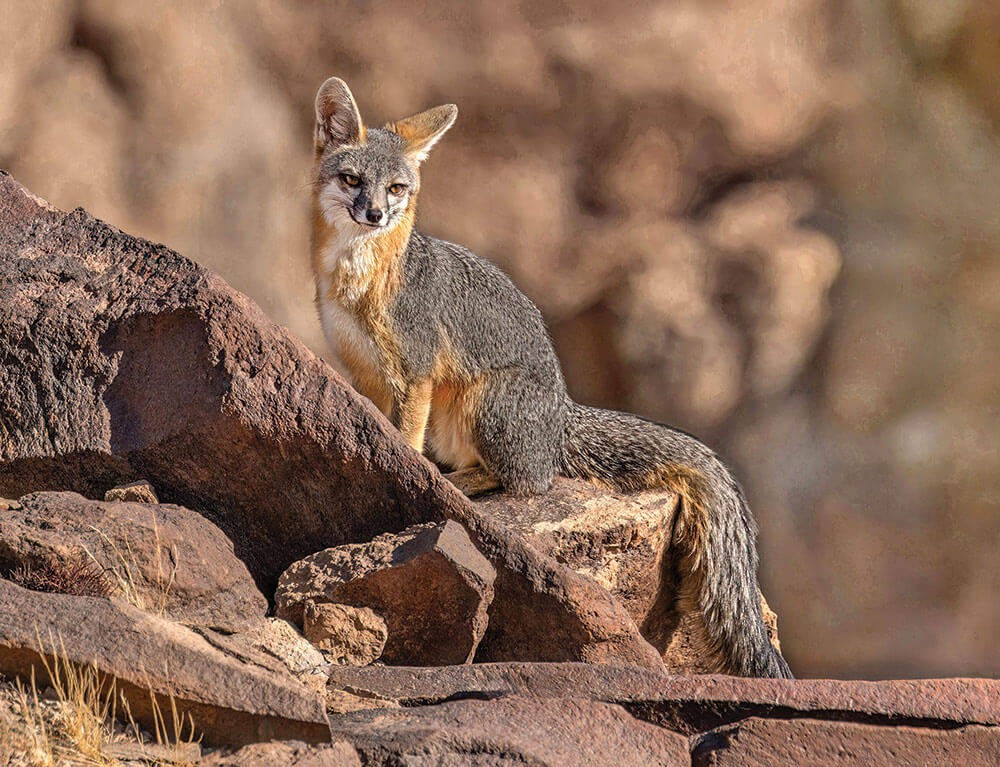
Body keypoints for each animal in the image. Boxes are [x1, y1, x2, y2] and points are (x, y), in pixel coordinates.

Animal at [308, 77, 793, 679]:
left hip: (482, 404)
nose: (374, 214)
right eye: (352, 179)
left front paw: (411, 471)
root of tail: (563, 411)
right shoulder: (364, 376)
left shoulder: (415, 374)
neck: (358, 279)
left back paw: (460, 482)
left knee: (528, 480)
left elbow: (404, 440)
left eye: (396, 188)